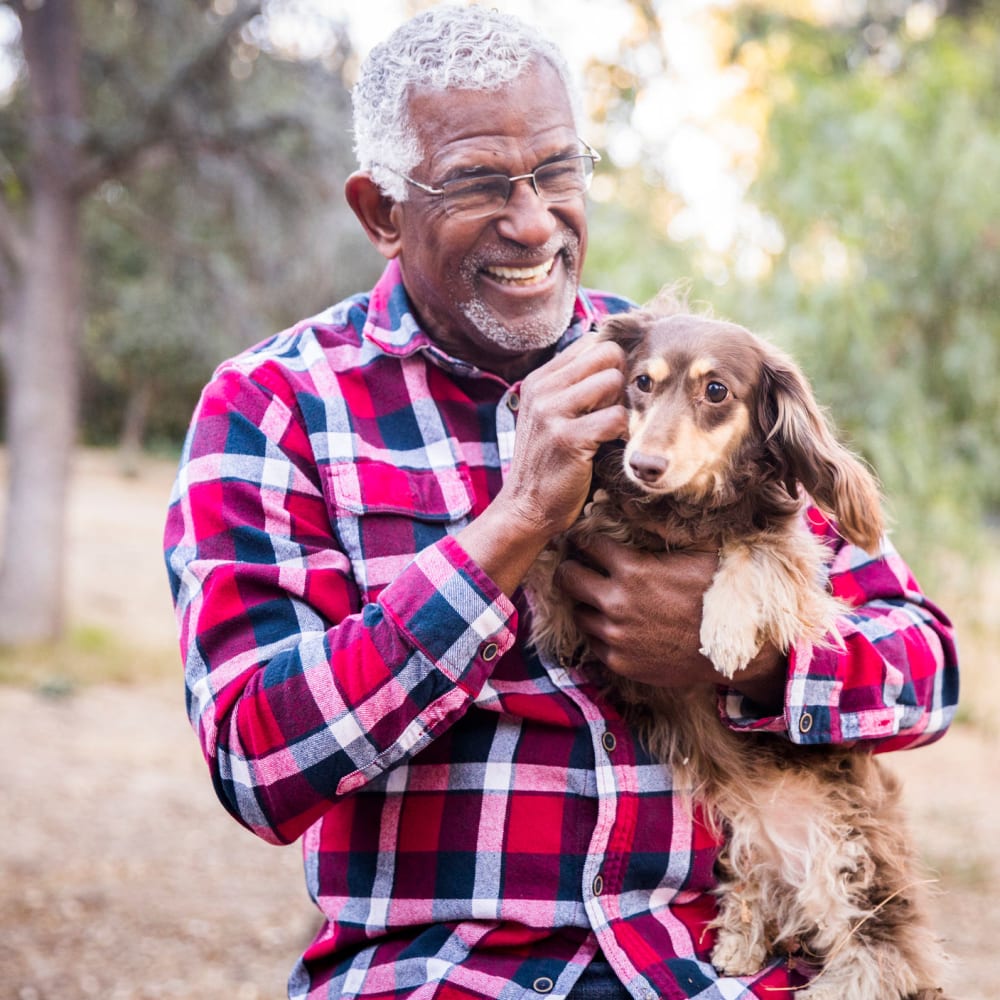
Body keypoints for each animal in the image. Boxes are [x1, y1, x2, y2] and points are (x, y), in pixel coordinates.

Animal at [528, 294, 948, 1000]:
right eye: (641, 383)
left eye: (716, 391)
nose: (644, 465)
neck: (680, 514)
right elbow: (561, 547)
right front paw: (548, 590)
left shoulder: (801, 578)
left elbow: (754, 550)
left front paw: (723, 629)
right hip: (745, 841)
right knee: (762, 896)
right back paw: (738, 942)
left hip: (850, 857)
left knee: (877, 953)